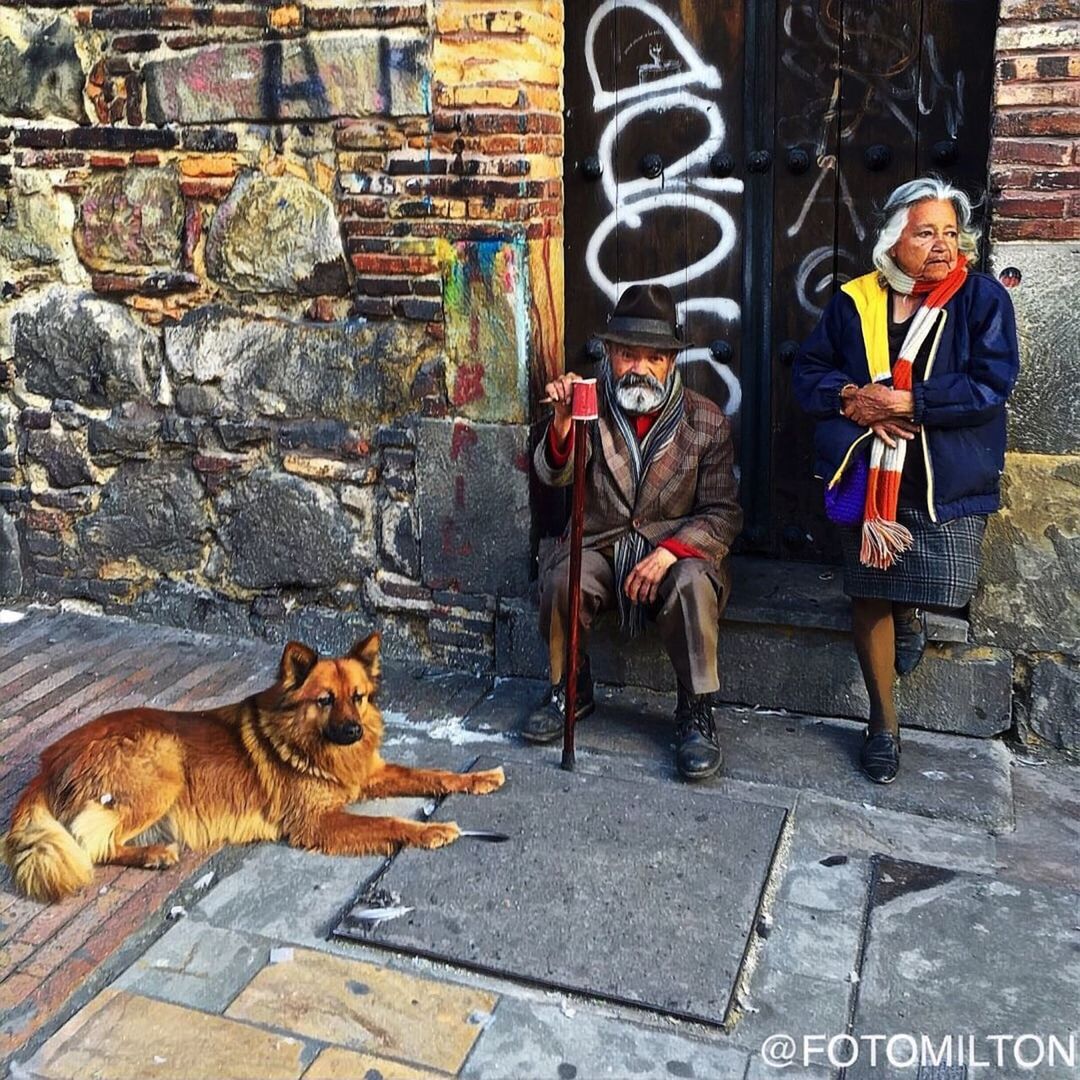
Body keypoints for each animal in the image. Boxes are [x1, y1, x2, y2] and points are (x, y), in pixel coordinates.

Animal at [0, 630, 503, 902]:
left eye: (358, 697)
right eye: (325, 700)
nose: (354, 732)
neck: (308, 741)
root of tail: (48, 762)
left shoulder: (366, 777)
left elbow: (431, 774)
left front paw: (478, 778)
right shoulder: (316, 822)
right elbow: (391, 823)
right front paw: (431, 831)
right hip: (164, 768)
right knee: (91, 842)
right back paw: (153, 854)